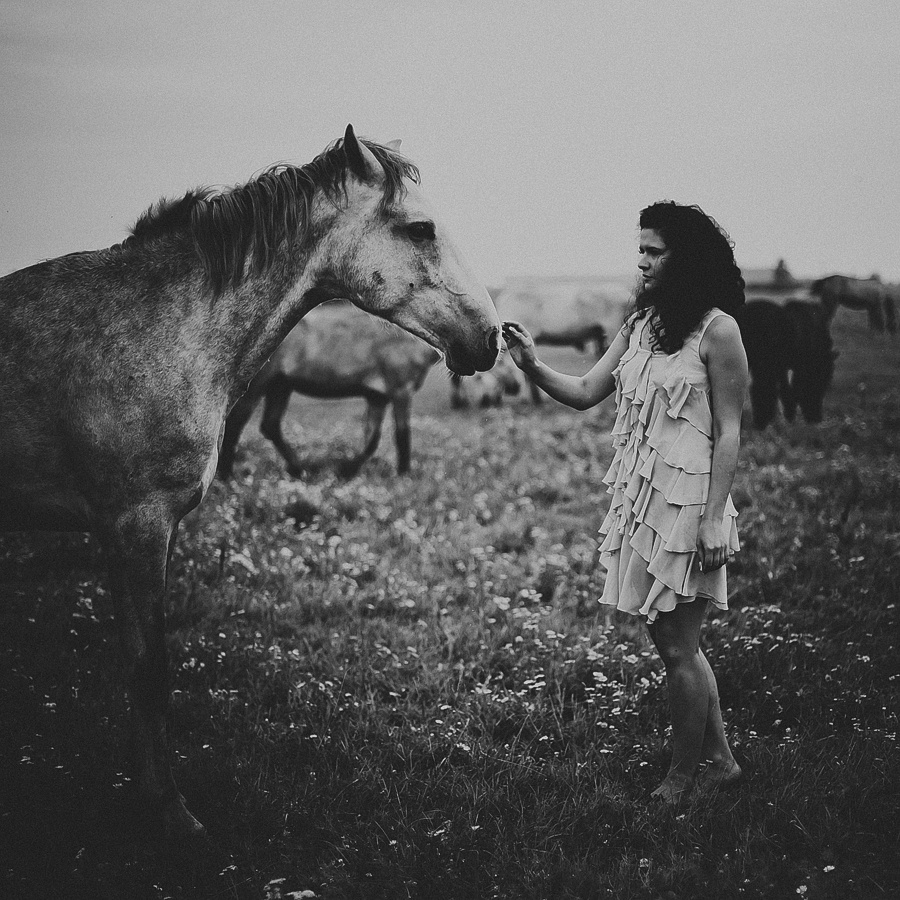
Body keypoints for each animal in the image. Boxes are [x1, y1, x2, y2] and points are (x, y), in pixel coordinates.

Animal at [218, 300, 440, 479]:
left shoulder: (377, 397)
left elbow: (371, 439)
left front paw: (347, 470)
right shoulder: (401, 390)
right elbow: (402, 434)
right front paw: (404, 474)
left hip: (280, 386)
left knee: (270, 425)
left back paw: (299, 470)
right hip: (258, 386)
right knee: (235, 424)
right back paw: (226, 476)